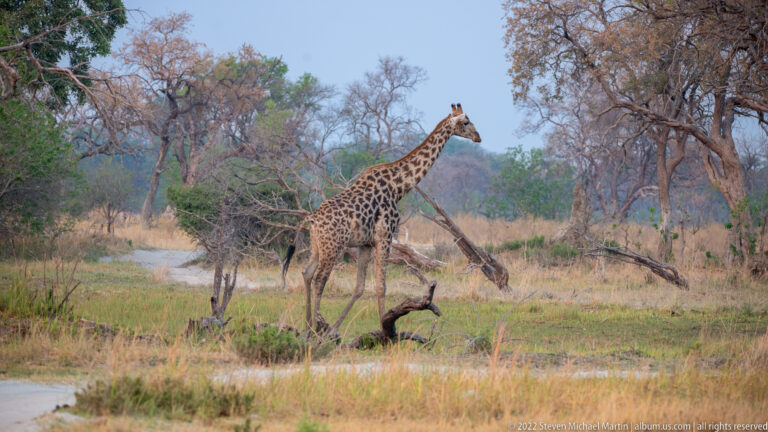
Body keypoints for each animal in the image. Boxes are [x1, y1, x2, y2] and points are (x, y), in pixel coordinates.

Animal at [282, 103, 482, 332]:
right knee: (319, 279)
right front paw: (386, 329)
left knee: (306, 273)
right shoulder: (385, 236)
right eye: (466, 121)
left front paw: (336, 327)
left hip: (317, 245)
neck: (399, 186)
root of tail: (311, 219)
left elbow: (360, 287)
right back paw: (315, 327)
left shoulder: (366, 244)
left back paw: (307, 326)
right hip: (333, 247)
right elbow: (381, 285)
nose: (478, 137)